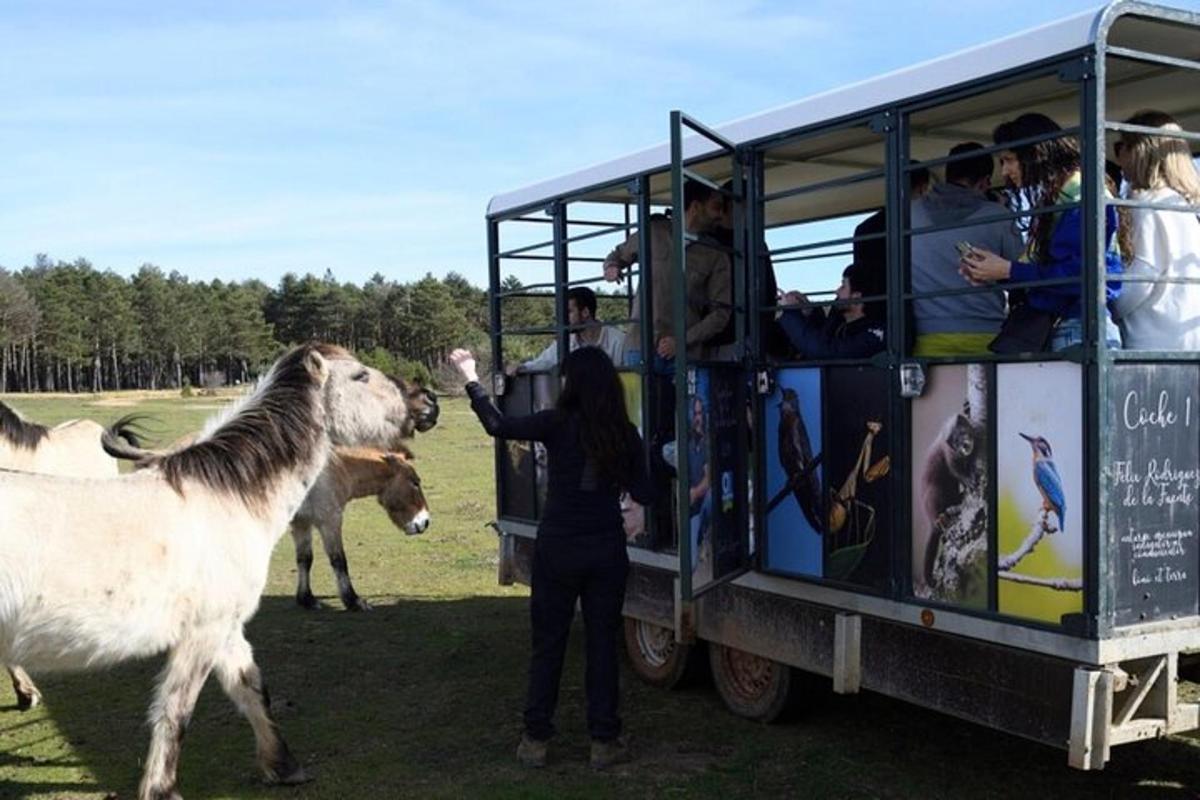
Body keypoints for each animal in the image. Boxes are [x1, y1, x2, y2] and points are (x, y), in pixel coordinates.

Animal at [0, 343, 417, 800]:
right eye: (361, 376)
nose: (426, 402)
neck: (227, 499)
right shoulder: (203, 632)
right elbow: (175, 712)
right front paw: (162, 789)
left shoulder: (227, 628)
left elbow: (252, 688)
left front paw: (282, 765)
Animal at [291, 448, 432, 609]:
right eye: (415, 482)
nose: (426, 522)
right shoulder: (330, 520)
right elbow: (339, 560)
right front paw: (353, 601)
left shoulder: (302, 523)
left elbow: (305, 559)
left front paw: (306, 599)